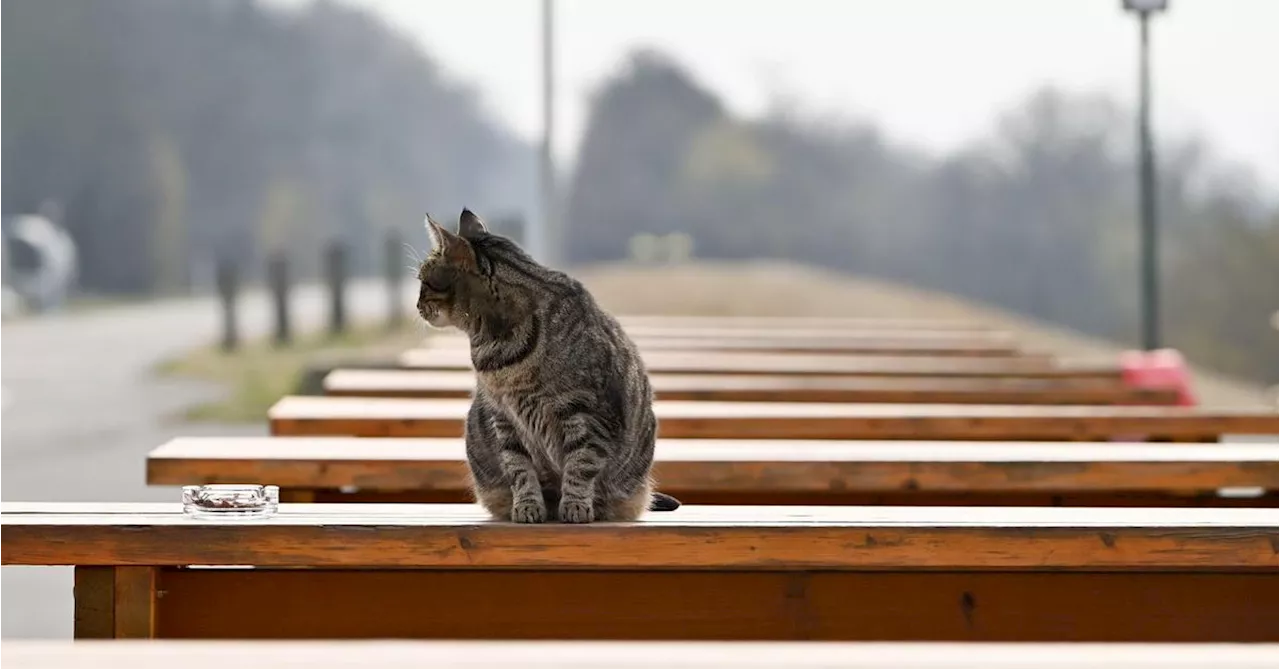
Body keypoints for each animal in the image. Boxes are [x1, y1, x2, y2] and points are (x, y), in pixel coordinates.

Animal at [417, 209, 680, 524]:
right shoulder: (504, 418)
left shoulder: (586, 414)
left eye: (424, 281)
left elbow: (581, 464)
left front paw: (575, 506)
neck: (494, 345)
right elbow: (519, 469)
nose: (416, 305)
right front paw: (527, 506)